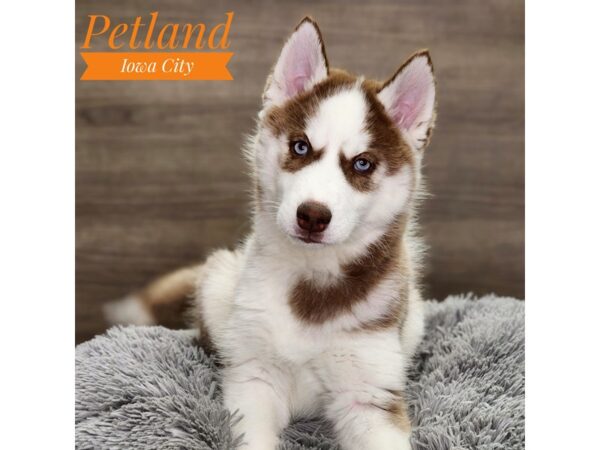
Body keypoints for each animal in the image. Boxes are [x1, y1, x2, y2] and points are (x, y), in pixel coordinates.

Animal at [105, 17, 436, 450]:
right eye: (300, 147)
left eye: (362, 164)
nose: (312, 216)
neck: (312, 281)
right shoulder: (254, 380)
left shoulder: (370, 395)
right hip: (221, 287)